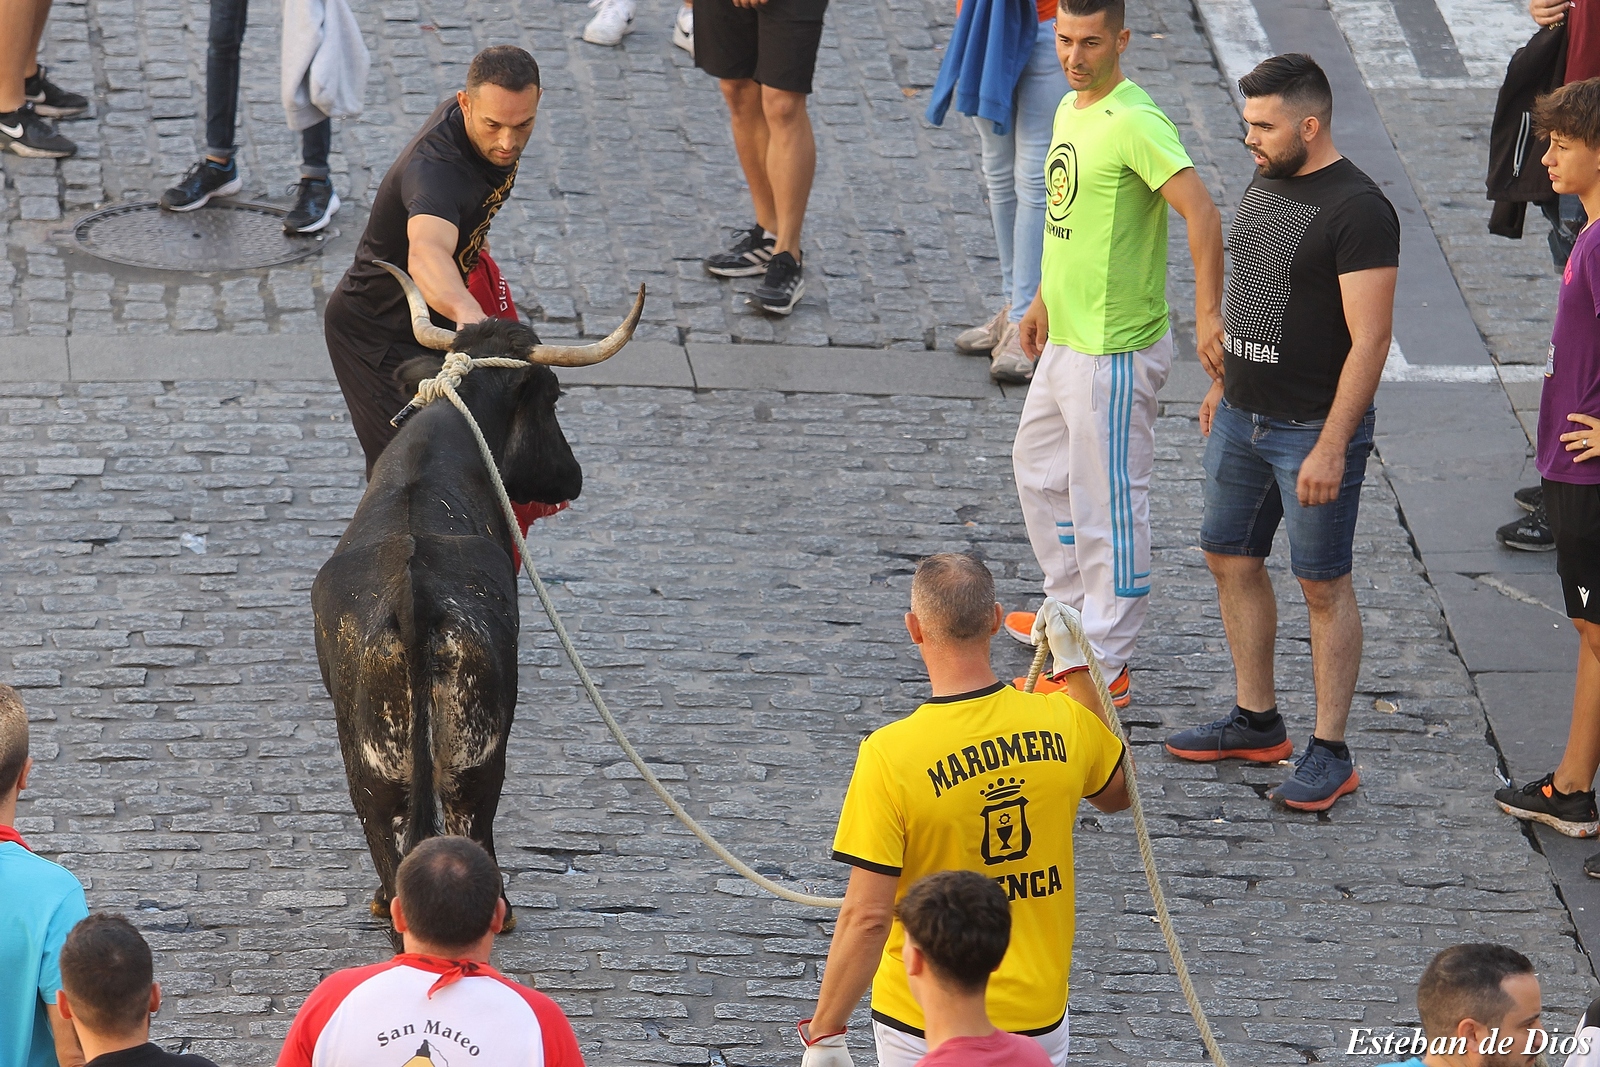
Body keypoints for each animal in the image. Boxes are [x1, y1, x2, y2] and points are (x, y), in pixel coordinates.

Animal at [308, 313, 620, 927]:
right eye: (554, 398)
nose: (573, 477)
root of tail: (415, 598)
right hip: (476, 756)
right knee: (469, 821)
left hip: (373, 764)